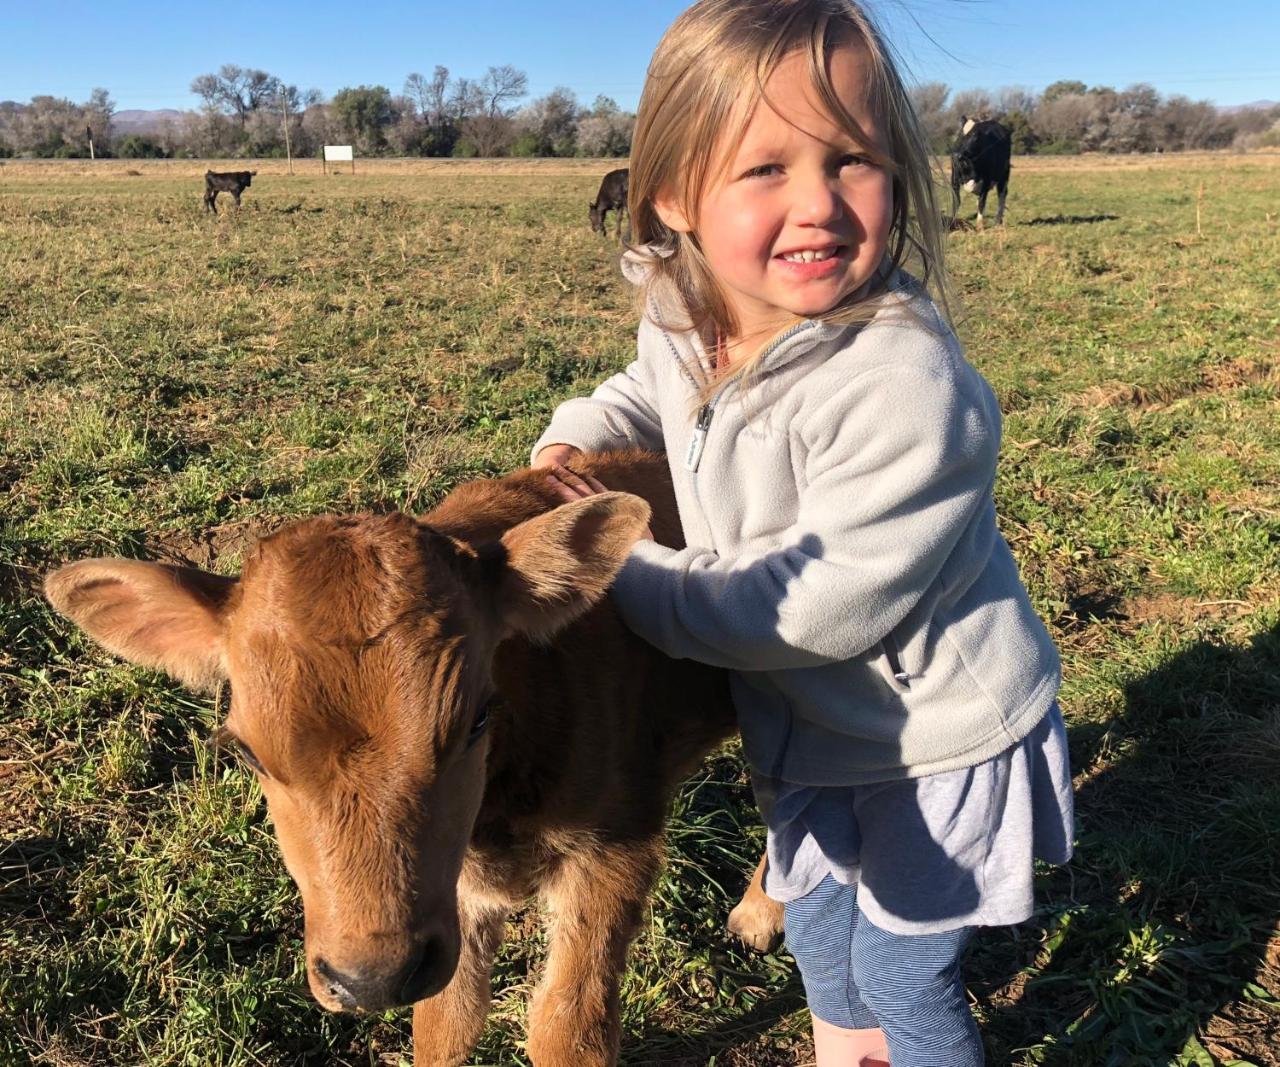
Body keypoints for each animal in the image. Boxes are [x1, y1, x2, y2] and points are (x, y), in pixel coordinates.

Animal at [47, 450, 778, 1064]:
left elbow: (569, 1031)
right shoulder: (450, 898)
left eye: (478, 716)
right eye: (248, 752)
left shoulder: (614, 853)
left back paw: (756, 918)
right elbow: (447, 1021)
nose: (370, 979)